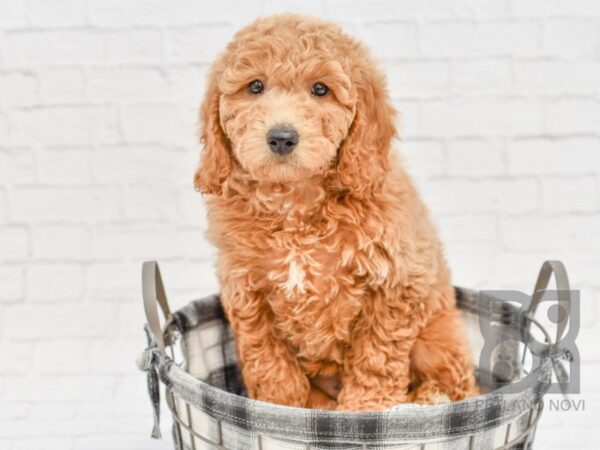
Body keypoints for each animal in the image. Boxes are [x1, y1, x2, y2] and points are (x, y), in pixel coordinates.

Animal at [196, 14, 478, 410]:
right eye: (255, 86)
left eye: (320, 89)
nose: (281, 137)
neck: (296, 203)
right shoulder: (246, 289)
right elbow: (266, 357)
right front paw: (280, 405)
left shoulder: (396, 283)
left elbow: (377, 356)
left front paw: (363, 408)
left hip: (436, 340)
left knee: (462, 387)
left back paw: (429, 397)